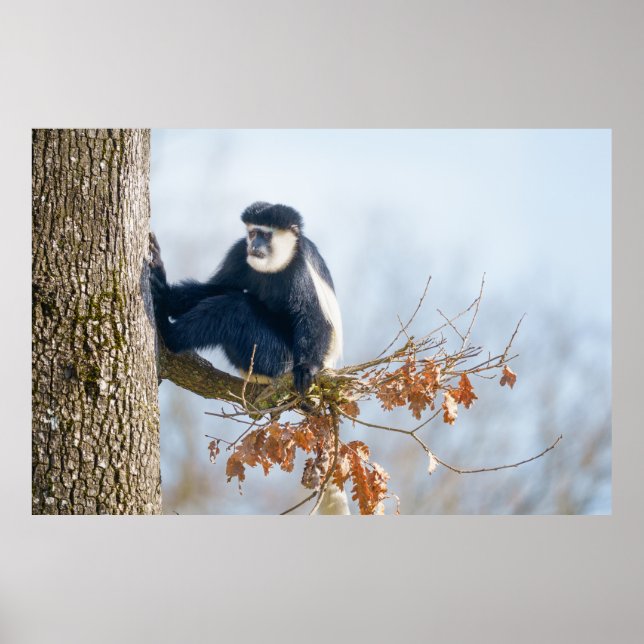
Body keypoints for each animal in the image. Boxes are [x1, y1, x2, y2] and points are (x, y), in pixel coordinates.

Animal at [149, 202, 343, 396]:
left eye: (266, 235)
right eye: (253, 233)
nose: (255, 247)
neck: (274, 266)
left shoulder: (300, 270)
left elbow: (313, 318)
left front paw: (306, 369)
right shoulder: (239, 252)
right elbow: (217, 288)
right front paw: (164, 294)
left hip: (278, 358)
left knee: (235, 308)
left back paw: (168, 333)